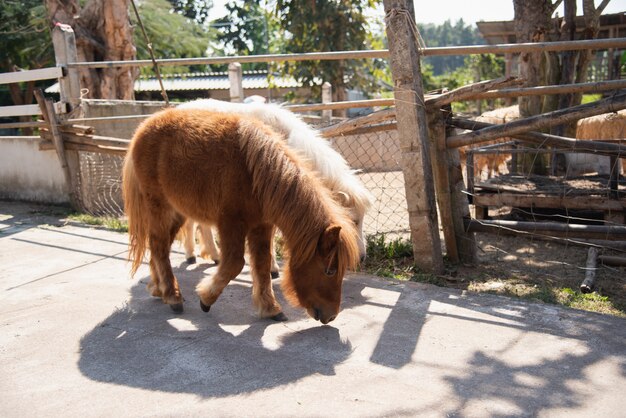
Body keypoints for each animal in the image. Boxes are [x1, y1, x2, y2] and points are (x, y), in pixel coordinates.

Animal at [122, 108, 358, 324]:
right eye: (330, 271)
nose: (331, 316)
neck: (255, 172)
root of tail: (144, 127)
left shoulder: (261, 226)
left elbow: (262, 265)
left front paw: (270, 308)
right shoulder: (230, 223)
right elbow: (234, 264)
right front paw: (206, 299)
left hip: (178, 212)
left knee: (158, 246)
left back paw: (158, 288)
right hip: (159, 207)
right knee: (159, 246)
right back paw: (172, 296)